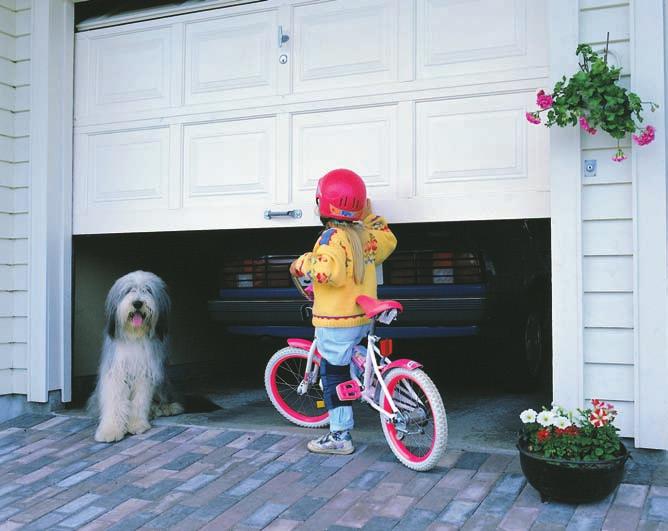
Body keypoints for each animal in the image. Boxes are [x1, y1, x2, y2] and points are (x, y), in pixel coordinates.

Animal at [88, 272, 184, 442]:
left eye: (148, 290)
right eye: (129, 290)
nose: (138, 303)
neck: (134, 336)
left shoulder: (145, 373)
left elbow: (140, 400)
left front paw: (136, 424)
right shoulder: (116, 371)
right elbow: (114, 400)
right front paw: (110, 430)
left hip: (163, 381)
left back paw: (165, 408)